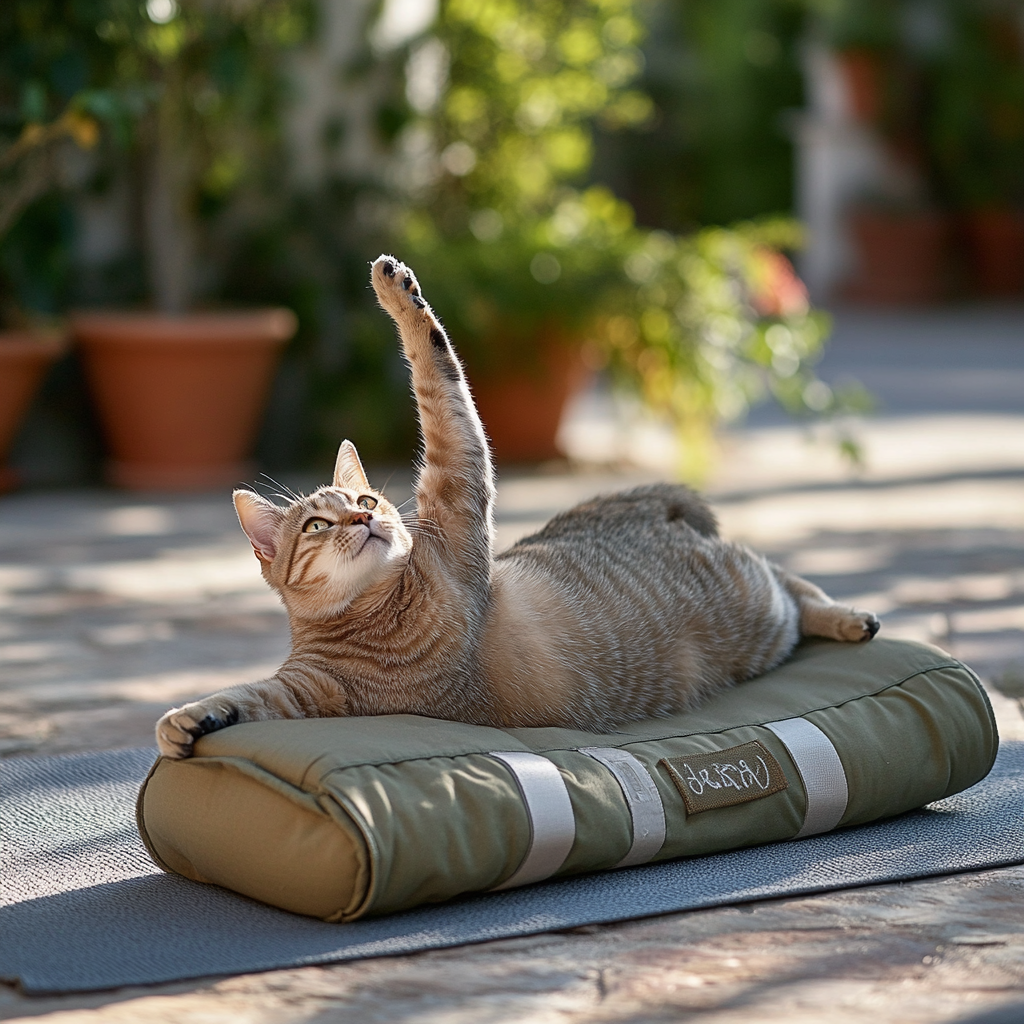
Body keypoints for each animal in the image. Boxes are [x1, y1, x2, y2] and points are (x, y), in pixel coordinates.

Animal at [153, 256, 880, 761]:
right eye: (317, 524)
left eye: (364, 498)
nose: (365, 519)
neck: (368, 618)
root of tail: (655, 509)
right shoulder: (313, 686)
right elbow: (245, 696)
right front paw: (190, 721)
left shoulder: (450, 505)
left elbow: (436, 378)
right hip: (755, 604)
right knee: (786, 583)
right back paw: (849, 617)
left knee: (793, 582)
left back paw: (849, 617)